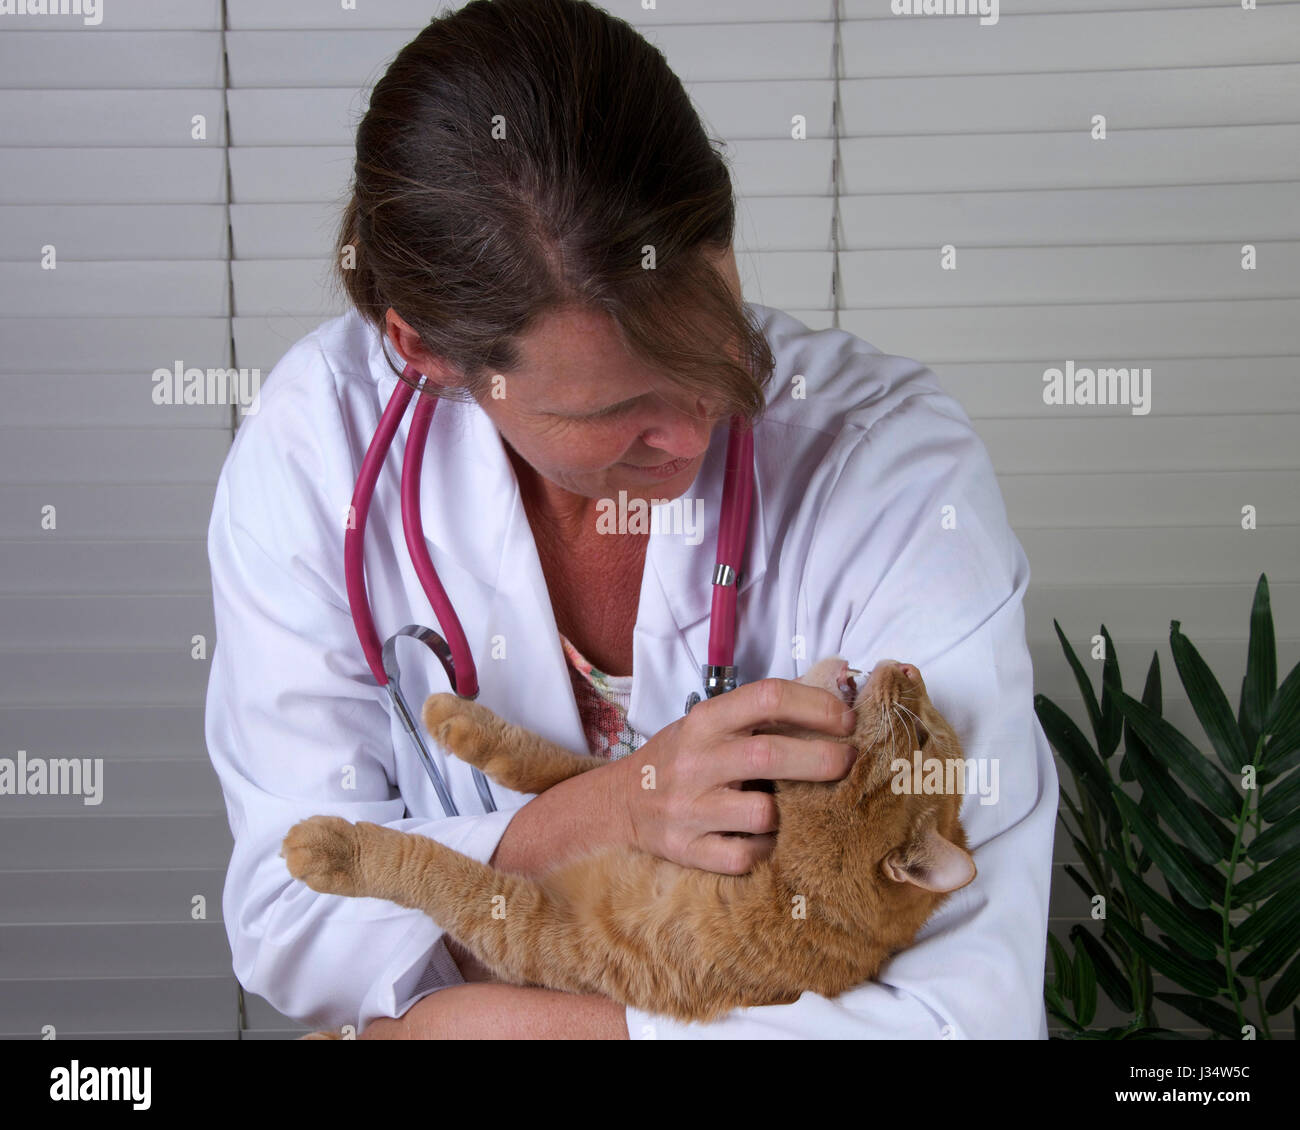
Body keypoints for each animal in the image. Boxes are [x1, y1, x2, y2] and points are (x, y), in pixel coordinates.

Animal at [282, 657, 977, 1029]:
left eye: (920, 740)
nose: (910, 667)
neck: (786, 868)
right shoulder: (618, 781)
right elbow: (556, 764)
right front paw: (465, 722)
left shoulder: (538, 930)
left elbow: (434, 870)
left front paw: (339, 849)